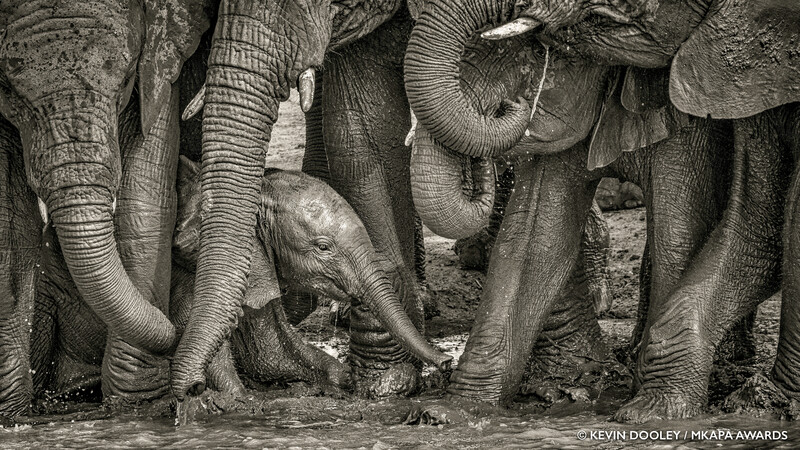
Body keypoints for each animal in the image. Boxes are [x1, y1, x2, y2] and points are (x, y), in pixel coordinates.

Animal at [0, 0, 212, 415]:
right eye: (9, 91)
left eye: (128, 75)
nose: (195, 386)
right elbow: (7, 218)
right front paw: (11, 414)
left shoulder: (157, 65)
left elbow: (146, 188)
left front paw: (138, 408)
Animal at [32, 156, 451, 400]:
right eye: (323, 247)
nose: (446, 363)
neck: (257, 190)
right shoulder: (190, 276)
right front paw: (234, 406)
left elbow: (272, 351)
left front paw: (338, 380)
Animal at [404, 0, 798, 422]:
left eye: (531, 53)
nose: (511, 107)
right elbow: (534, 239)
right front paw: (451, 411)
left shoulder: (683, 114)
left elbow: (679, 229)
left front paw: (651, 409)